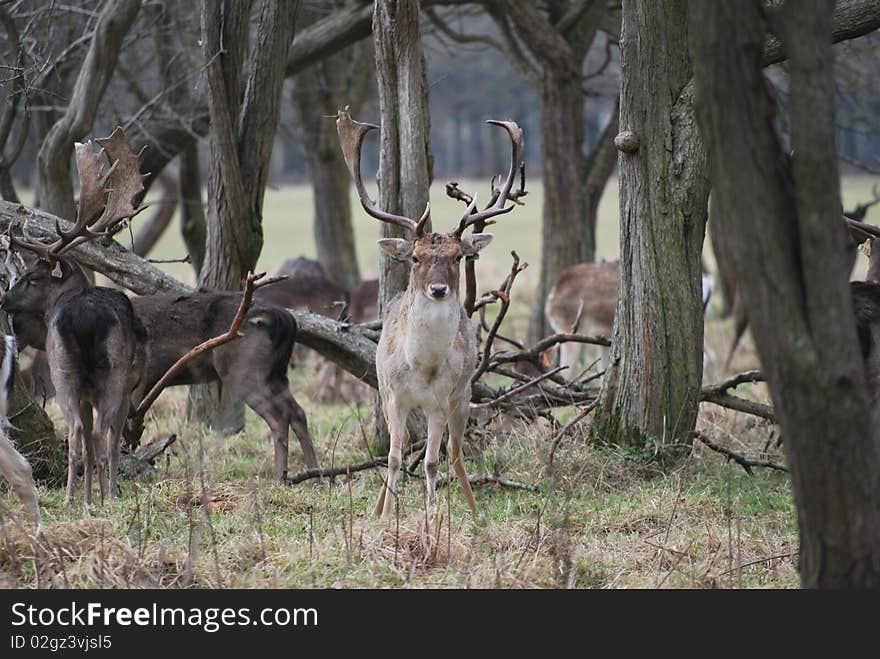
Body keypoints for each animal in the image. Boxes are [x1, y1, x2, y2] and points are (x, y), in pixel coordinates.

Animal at [336, 108, 524, 520]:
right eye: (417, 258)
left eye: (456, 257)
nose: (438, 290)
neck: (421, 368)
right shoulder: (392, 395)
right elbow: (392, 457)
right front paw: (385, 515)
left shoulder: (441, 399)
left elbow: (432, 461)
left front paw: (432, 514)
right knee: (406, 446)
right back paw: (379, 506)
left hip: (463, 395)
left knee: (454, 451)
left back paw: (473, 512)